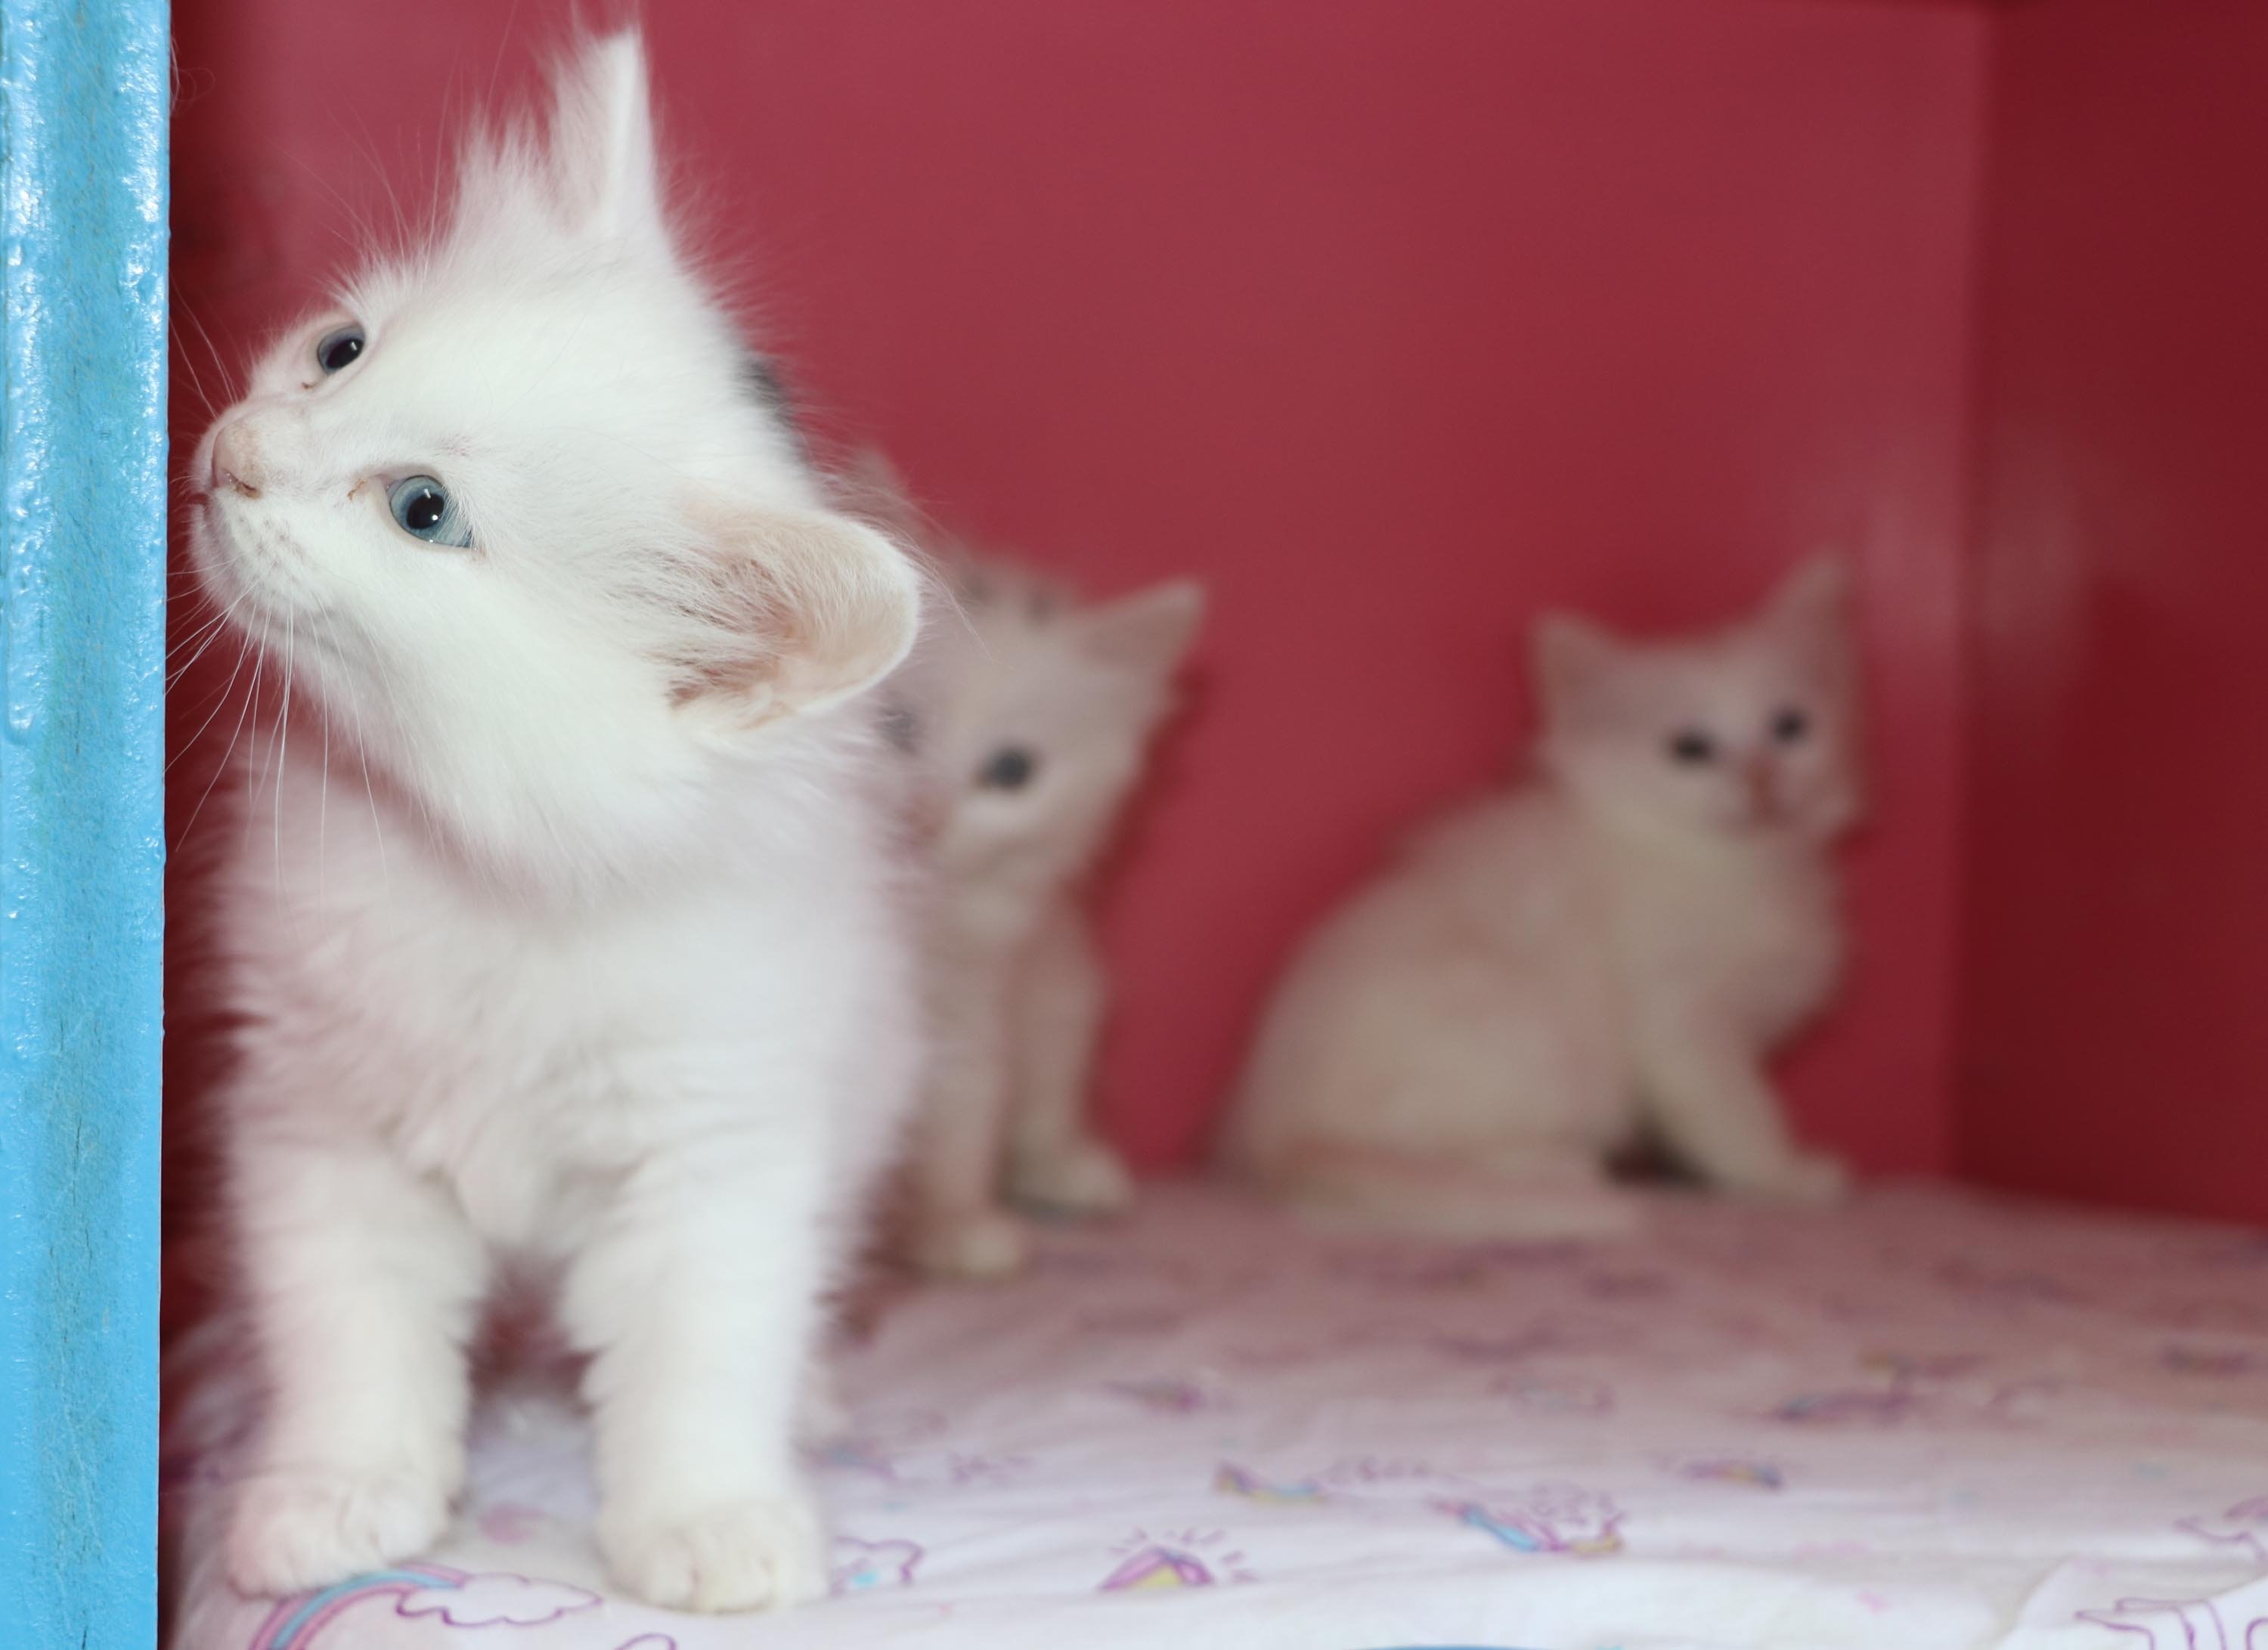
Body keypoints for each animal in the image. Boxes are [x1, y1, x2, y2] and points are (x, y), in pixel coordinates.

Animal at [179, 35, 921, 1614]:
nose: (241, 452)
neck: (480, 872)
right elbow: (348, 1329)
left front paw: (711, 1517)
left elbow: (707, 1346)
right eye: (342, 350)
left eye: (422, 509)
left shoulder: (716, 1134)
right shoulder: (326, 1123)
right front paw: (338, 1490)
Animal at [853, 457, 1207, 1278]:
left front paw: (951, 1225)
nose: (931, 814)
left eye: (1013, 771)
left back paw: (1069, 1169)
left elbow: (957, 1115)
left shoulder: (971, 1001)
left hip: (1065, 988)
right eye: (900, 726)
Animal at [1225, 559, 1860, 1233]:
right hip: (1529, 1035)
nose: (1763, 781)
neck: (1736, 866)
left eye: (1791, 726)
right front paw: (1788, 1176)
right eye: (1690, 748)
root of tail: (1280, 1138)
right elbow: (1735, 1116)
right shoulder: (1682, 1024)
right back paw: (1555, 1163)